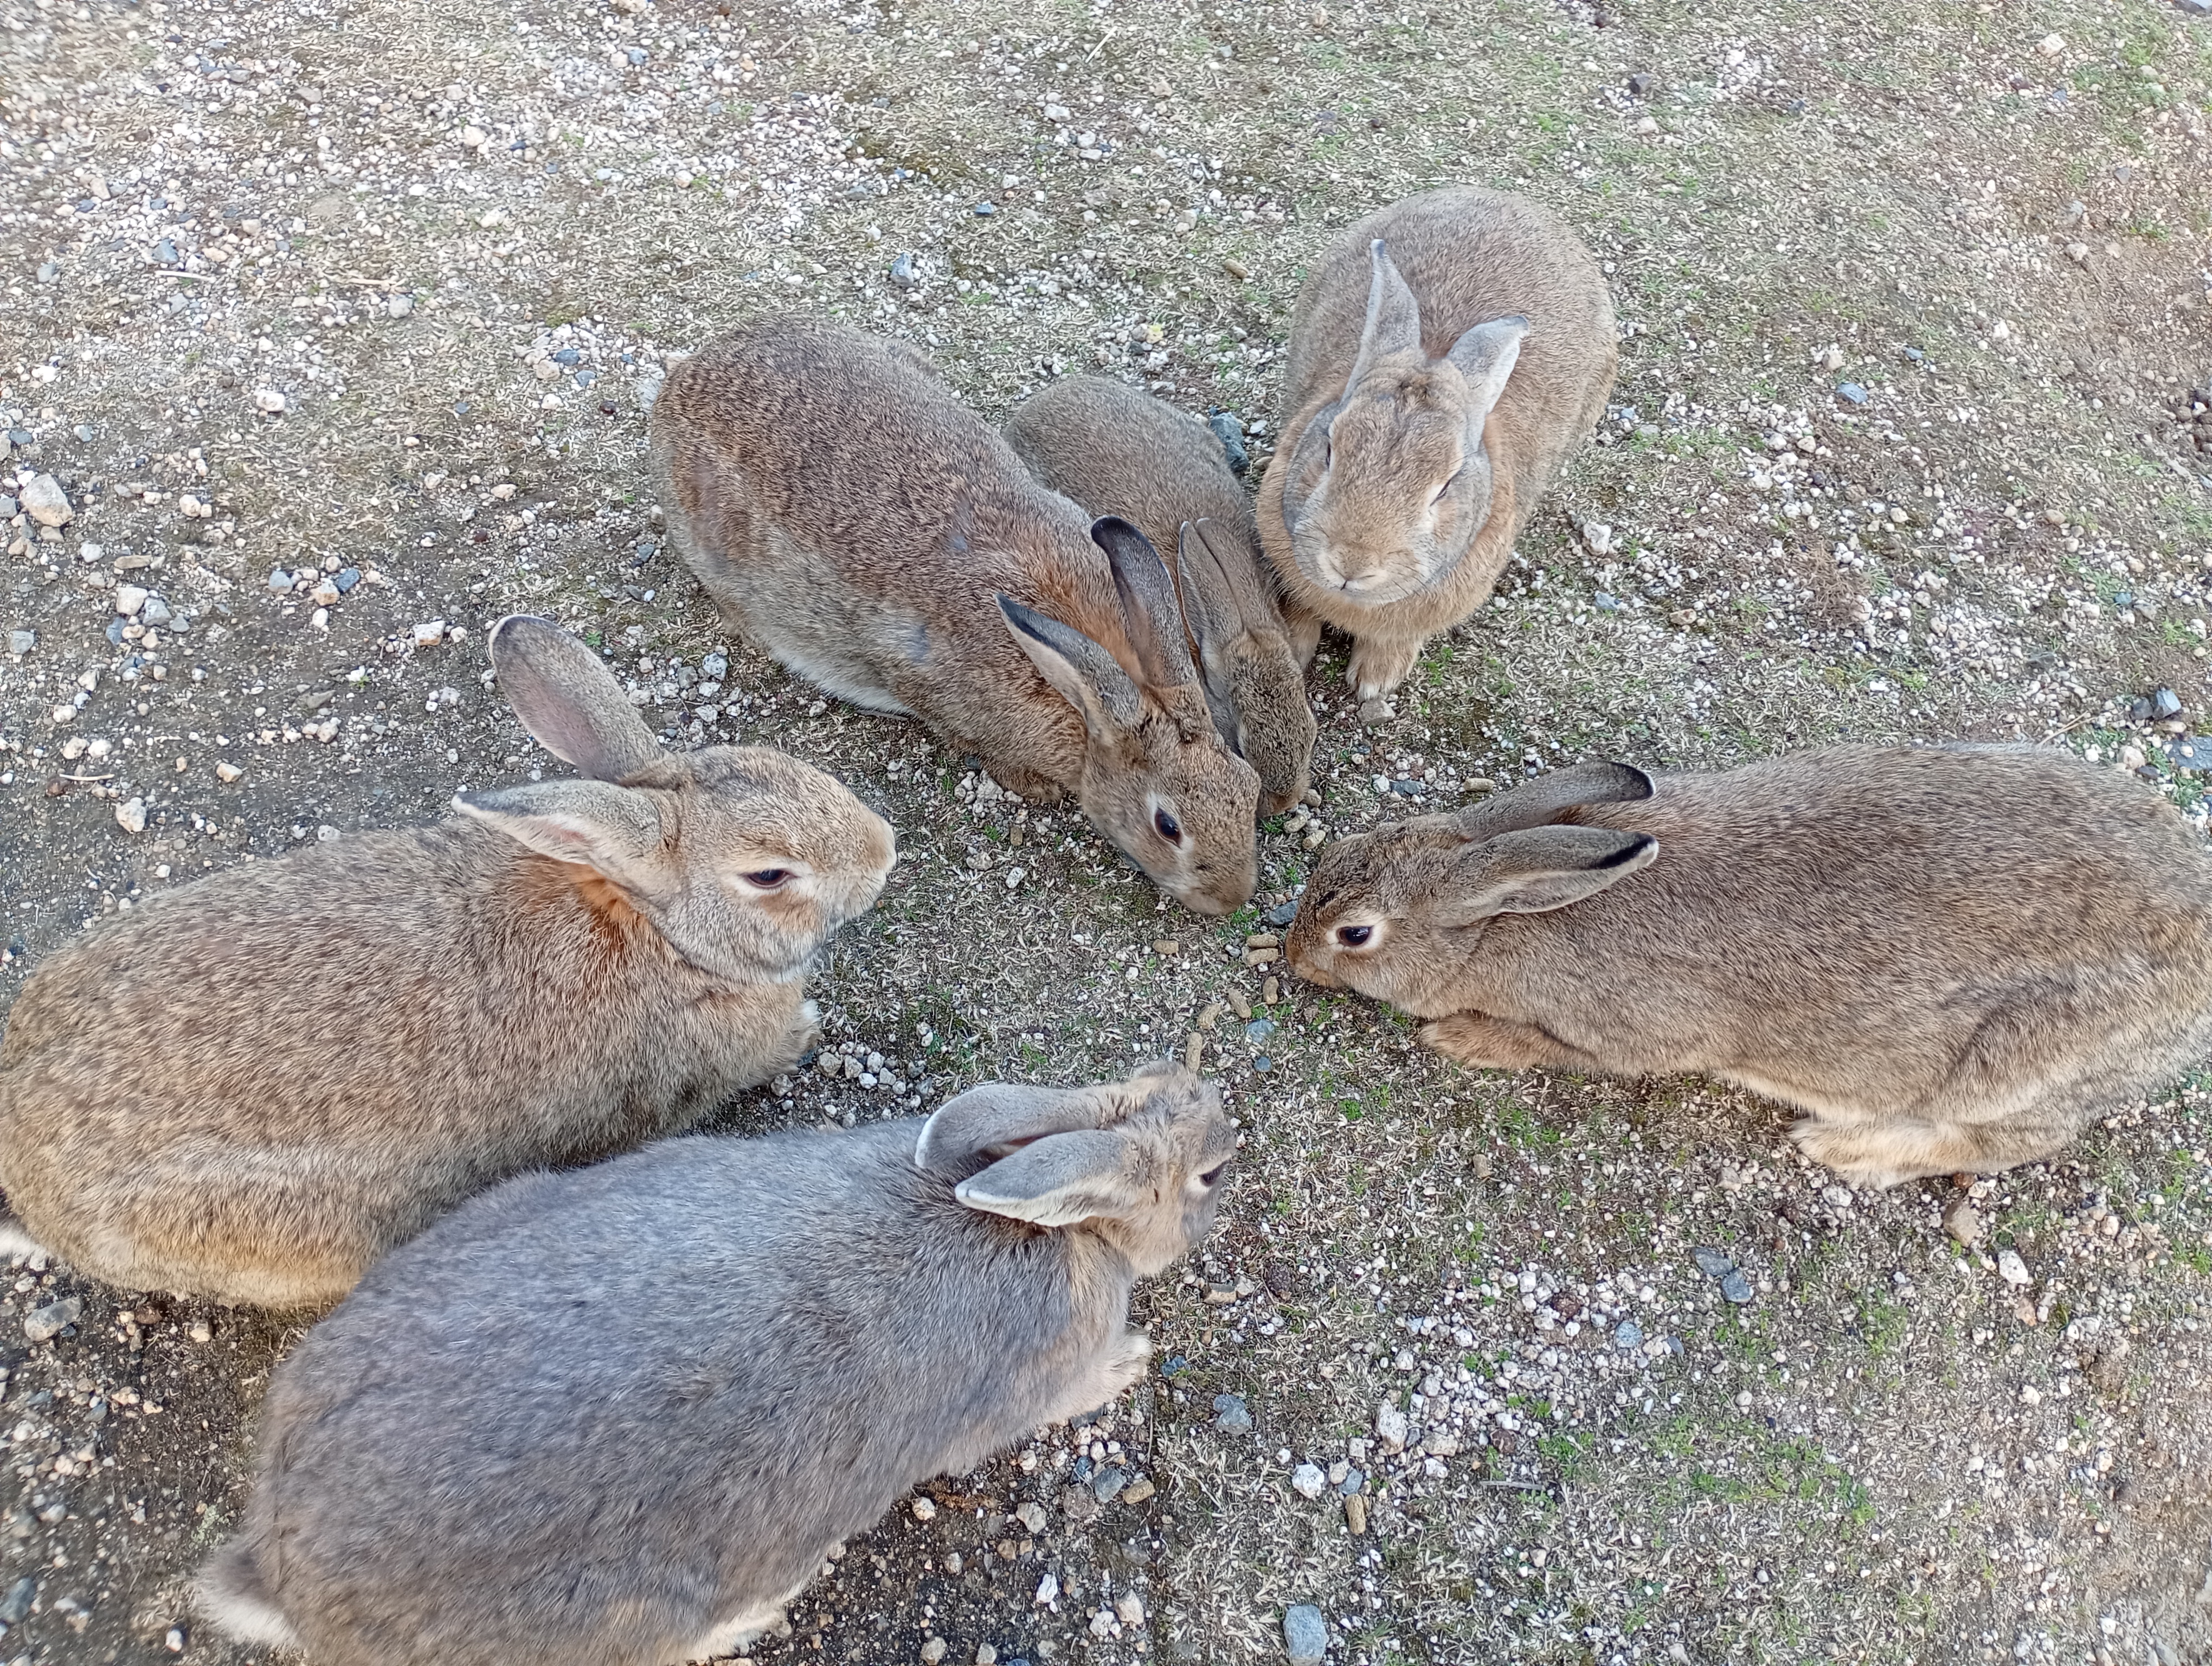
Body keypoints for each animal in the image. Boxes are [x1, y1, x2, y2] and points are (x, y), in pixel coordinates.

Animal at [196, 1060, 1237, 1666]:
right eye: (1210, 1177)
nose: (1226, 1122)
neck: (1064, 1226)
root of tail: (285, 1573)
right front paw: (1131, 1362)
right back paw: (752, 1618)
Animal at [652, 318, 1259, 915]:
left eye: (1248, 781)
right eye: (1168, 826)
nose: (1231, 899)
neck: (1087, 704)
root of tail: (682, 378)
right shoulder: (926, 683)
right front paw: (1037, 788)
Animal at [1284, 745, 2212, 1188]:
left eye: (1356, 935)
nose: (1293, 955)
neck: (1497, 918)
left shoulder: (1633, 1037)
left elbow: (1561, 1051)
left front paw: (1463, 1040)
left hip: (2011, 1068)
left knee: (2012, 1141)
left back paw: (1845, 1151)